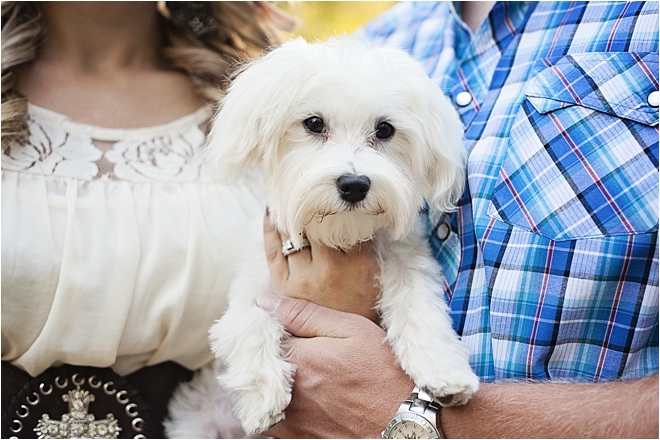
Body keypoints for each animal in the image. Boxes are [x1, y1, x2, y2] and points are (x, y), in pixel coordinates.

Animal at [166, 37, 480, 436]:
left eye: (385, 130)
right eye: (314, 123)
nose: (354, 184)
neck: (339, 236)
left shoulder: (406, 260)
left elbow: (419, 307)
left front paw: (444, 369)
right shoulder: (253, 289)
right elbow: (250, 321)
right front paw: (263, 397)